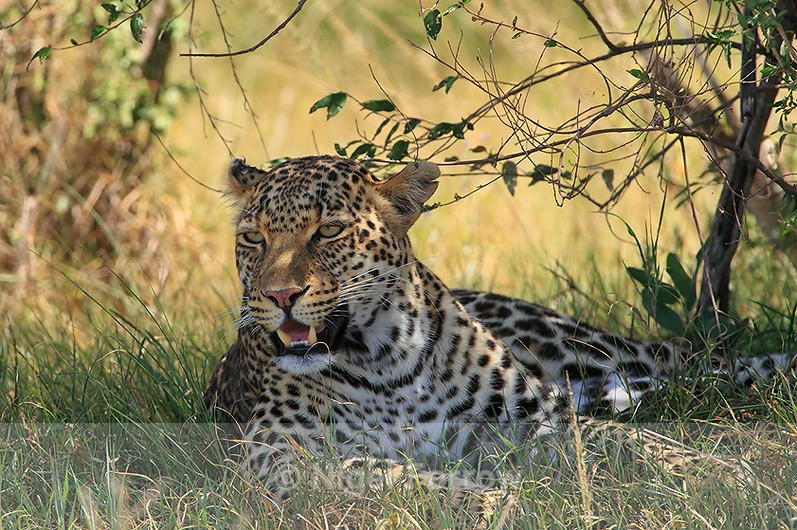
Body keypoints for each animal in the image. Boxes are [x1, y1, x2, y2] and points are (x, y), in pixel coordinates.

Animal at [204, 155, 792, 497]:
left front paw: (713, 469)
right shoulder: (278, 451)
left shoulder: (536, 416)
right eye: (254, 238)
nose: (279, 296)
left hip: (584, 348)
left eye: (327, 231)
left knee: (692, 366)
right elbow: (374, 472)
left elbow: (626, 440)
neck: (384, 356)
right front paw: (483, 495)